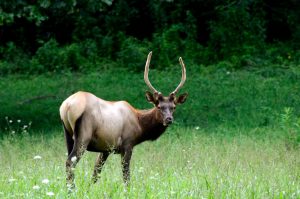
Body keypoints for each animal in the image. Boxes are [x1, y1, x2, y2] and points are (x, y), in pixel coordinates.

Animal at [58, 51, 188, 188]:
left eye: (173, 107)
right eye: (159, 106)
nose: (169, 119)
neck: (140, 126)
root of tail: (66, 106)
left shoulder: (106, 148)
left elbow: (96, 173)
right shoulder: (127, 143)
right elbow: (126, 176)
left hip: (68, 135)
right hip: (84, 134)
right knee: (70, 162)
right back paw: (71, 189)